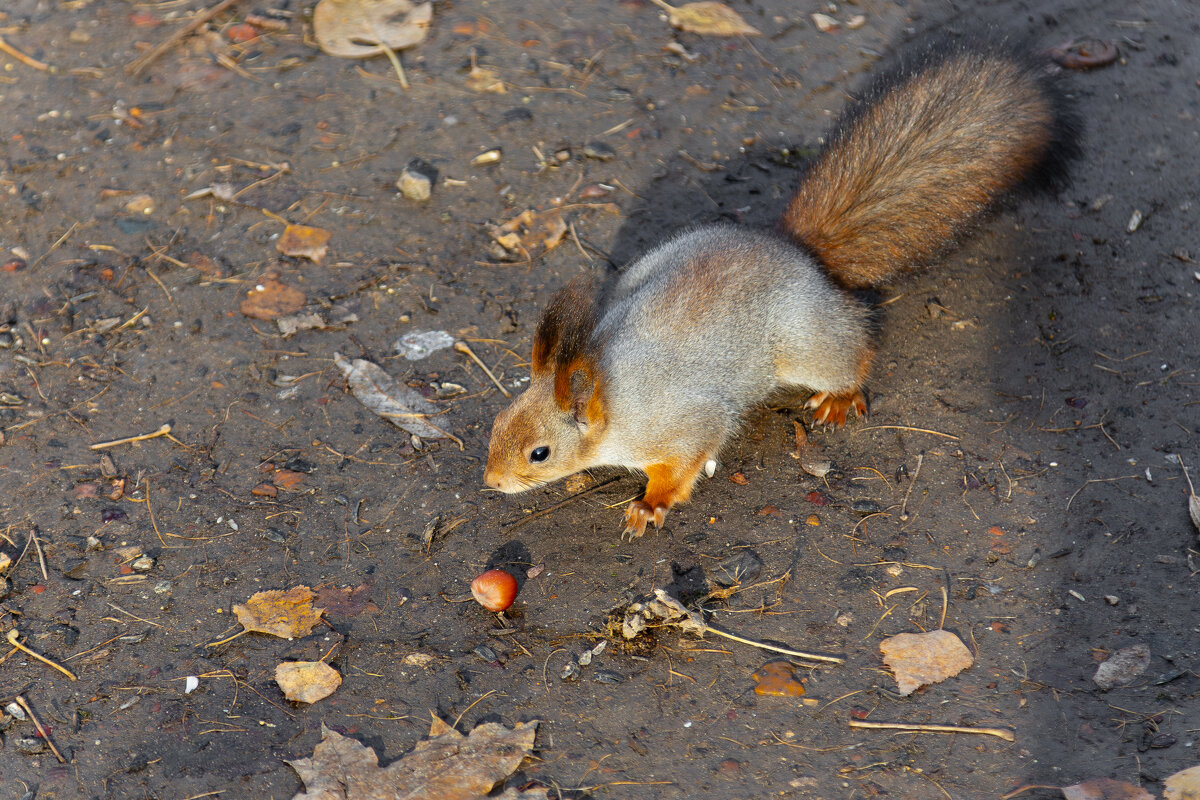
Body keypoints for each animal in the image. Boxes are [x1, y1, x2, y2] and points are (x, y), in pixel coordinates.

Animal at [482, 38, 1084, 537]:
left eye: (539, 453)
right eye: (497, 423)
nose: (491, 481)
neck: (611, 394)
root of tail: (797, 252)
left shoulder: (684, 423)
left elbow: (685, 462)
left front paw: (650, 504)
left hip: (806, 341)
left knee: (853, 348)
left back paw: (840, 397)